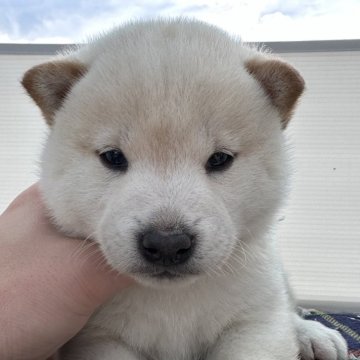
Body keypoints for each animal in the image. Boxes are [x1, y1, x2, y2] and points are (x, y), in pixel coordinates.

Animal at [21, 19, 348, 360]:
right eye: (112, 157)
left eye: (220, 159)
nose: (167, 243)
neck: (173, 299)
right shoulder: (98, 338)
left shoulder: (255, 322)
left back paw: (313, 335)